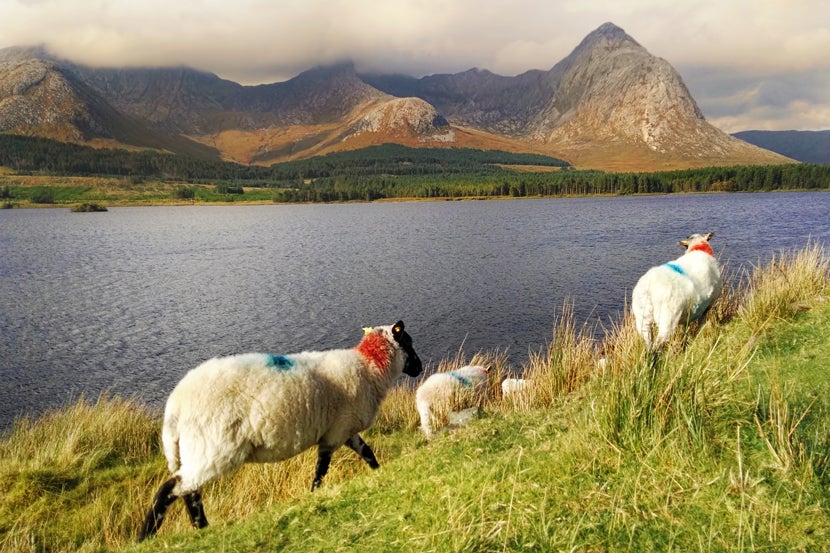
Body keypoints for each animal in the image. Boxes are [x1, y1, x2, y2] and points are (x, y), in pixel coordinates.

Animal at [139, 320, 422, 540]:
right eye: (408, 342)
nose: (419, 368)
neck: (369, 367)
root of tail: (174, 408)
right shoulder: (334, 434)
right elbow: (321, 471)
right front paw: (314, 495)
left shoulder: (343, 431)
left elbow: (367, 453)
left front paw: (378, 472)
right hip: (214, 447)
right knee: (170, 490)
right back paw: (146, 536)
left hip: (196, 450)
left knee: (189, 492)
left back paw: (201, 528)